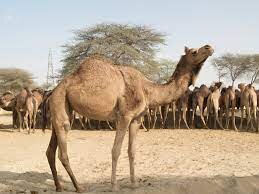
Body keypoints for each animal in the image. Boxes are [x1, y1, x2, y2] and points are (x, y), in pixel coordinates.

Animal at [47, 44, 215, 192]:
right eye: (193, 52)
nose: (209, 47)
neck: (147, 89)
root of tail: (53, 91)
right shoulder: (124, 116)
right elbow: (116, 150)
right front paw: (114, 186)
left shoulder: (136, 119)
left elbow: (132, 150)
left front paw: (134, 184)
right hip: (60, 101)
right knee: (63, 151)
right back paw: (79, 187)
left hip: (62, 109)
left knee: (50, 150)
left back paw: (59, 186)